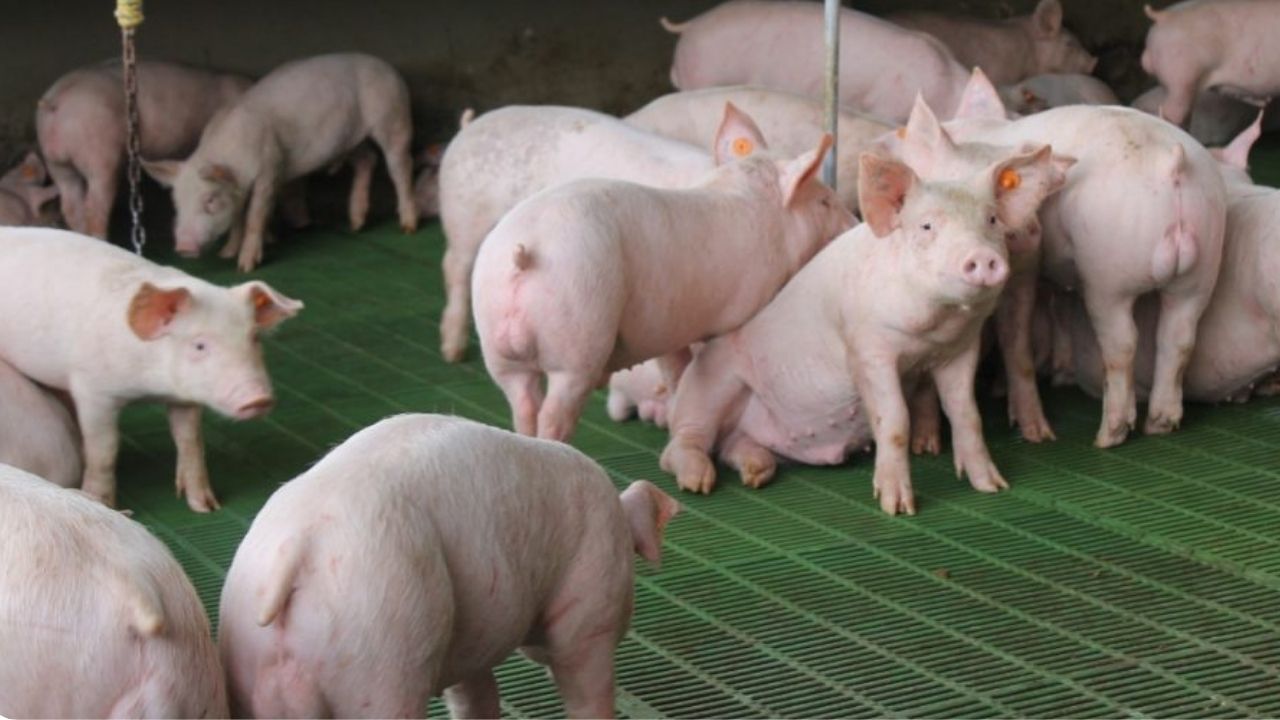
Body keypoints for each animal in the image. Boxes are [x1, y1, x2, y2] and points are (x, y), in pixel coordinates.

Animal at [142, 53, 418, 272]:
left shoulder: (270, 169)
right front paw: (226, 254)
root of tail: (386, 65)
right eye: (176, 203)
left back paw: (408, 226)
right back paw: (356, 225)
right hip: (348, 140)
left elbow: (255, 215)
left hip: (394, 118)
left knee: (400, 167)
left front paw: (245, 267)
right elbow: (237, 218)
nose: (183, 246)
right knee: (367, 159)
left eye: (210, 199)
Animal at [218, 413, 679, 719]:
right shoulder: (589, 611)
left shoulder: (471, 640)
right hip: (383, 650)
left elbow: (476, 694)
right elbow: (586, 685)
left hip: (254, 671)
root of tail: (298, 550)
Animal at [472, 109, 853, 441]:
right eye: (824, 202)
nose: (854, 223)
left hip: (497, 346)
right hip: (576, 331)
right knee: (554, 413)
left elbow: (675, 367)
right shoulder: (745, 303)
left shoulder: (664, 326)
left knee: (522, 403)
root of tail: (524, 254)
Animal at [661, 145, 1066, 514]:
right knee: (681, 443)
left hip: (739, 425)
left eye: (992, 220)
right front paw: (897, 507)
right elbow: (895, 419)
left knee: (732, 445)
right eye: (926, 226)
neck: (933, 331)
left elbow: (967, 414)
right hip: (712, 384)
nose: (982, 256)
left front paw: (993, 487)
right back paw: (698, 482)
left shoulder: (960, 350)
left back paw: (757, 472)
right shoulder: (867, 349)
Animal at [941, 70, 1228, 447]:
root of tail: (1172, 164)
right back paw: (1160, 424)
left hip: (1109, 267)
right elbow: (1059, 308)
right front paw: (1060, 373)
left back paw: (1108, 436)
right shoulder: (1059, 272)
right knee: (1179, 336)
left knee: (1122, 342)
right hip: (1204, 262)